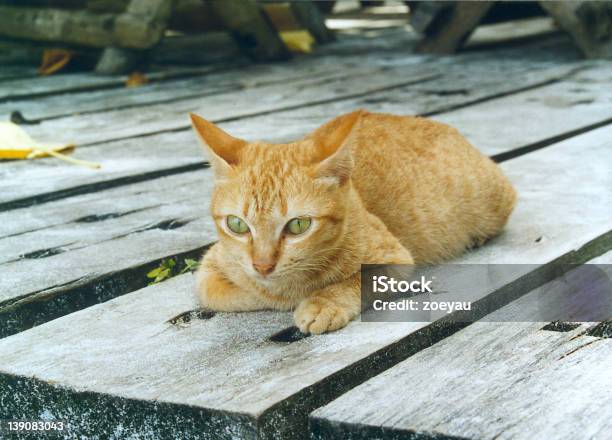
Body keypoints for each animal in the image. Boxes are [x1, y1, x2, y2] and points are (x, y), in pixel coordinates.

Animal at [191, 110, 516, 334]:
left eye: (298, 225)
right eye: (237, 225)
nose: (262, 266)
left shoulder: (394, 259)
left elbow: (353, 281)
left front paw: (323, 301)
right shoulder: (209, 270)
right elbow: (233, 293)